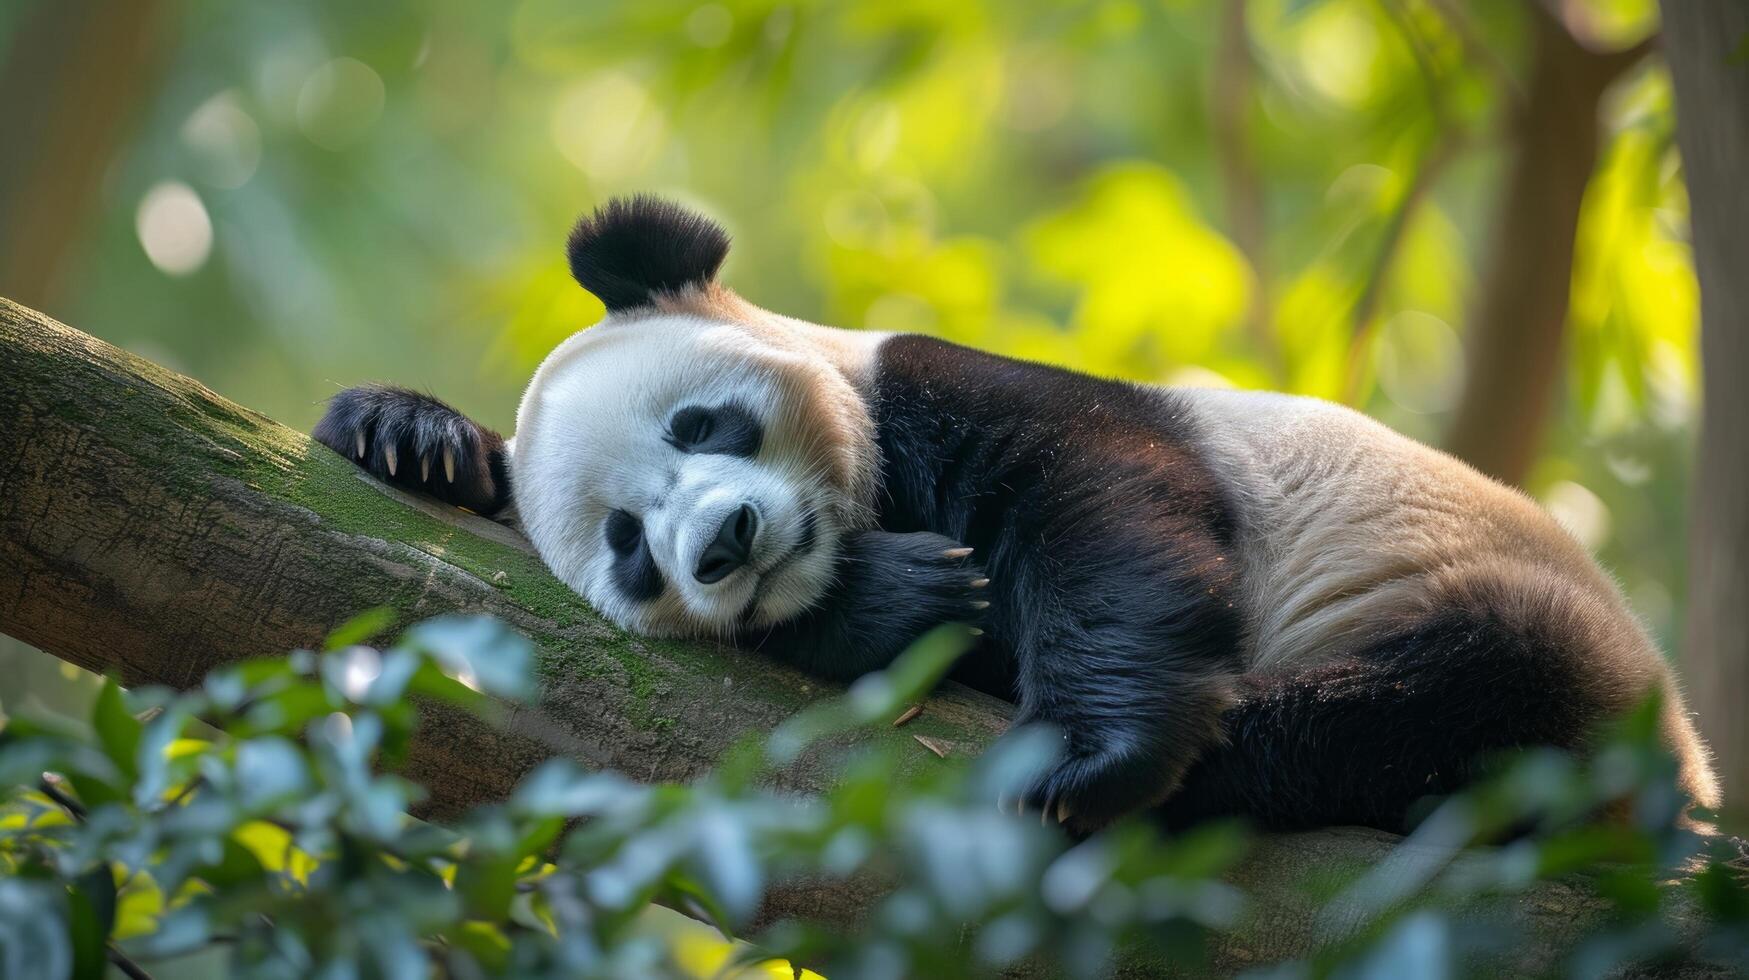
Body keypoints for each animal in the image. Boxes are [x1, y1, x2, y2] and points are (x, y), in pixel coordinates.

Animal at [318, 193, 1721, 833]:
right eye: (627, 546)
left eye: (701, 425)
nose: (722, 543)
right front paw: (412, 437)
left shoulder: (949, 390)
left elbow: (1108, 515)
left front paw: (1083, 755)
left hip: (1504, 608)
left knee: (1427, 694)